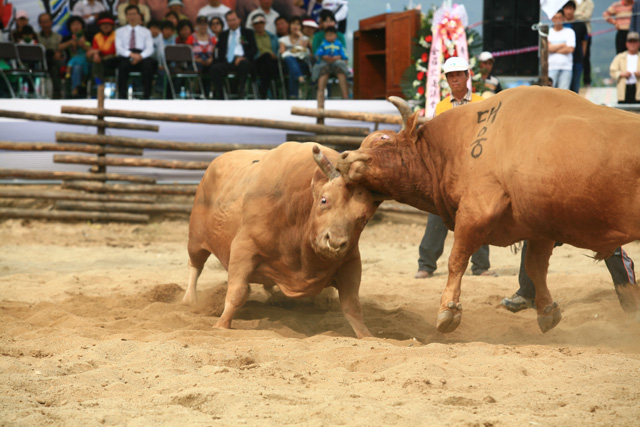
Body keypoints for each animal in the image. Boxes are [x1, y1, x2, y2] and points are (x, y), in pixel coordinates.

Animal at [184, 142, 380, 340]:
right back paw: (190, 299)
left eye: (364, 219)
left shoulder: (350, 260)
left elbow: (352, 305)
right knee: (195, 265)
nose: (334, 242)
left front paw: (367, 335)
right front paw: (221, 324)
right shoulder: (244, 248)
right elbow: (237, 292)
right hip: (196, 237)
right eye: (324, 200)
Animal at [338, 87, 640, 334]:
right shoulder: (538, 227)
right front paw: (546, 310)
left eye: (383, 138)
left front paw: (448, 309)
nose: (344, 157)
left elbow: (457, 259)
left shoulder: (477, 209)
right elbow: (535, 267)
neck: (453, 148)